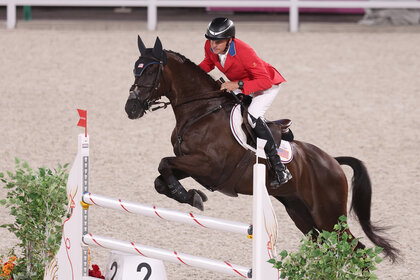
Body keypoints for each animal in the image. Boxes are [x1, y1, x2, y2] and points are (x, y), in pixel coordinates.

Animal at [124, 35, 398, 262]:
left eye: (150, 71)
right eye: (135, 68)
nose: (131, 108)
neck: (201, 111)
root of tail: (332, 161)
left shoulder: (208, 166)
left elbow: (164, 162)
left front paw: (190, 196)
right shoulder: (191, 164)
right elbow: (161, 178)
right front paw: (189, 195)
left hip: (328, 215)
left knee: (356, 250)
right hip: (300, 211)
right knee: (326, 245)